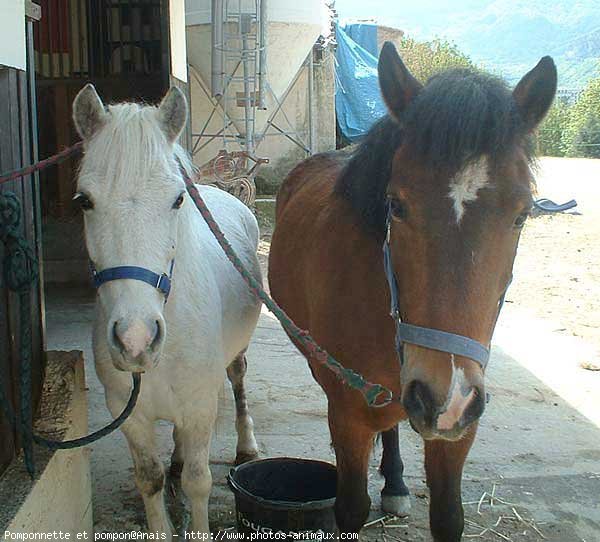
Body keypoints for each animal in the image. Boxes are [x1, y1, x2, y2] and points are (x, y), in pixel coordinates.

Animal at [71, 86, 262, 540]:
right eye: (84, 201)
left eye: (177, 199)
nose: (135, 339)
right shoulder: (127, 413)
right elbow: (149, 478)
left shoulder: (200, 407)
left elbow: (198, 482)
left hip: (236, 356)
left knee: (238, 380)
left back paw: (246, 446)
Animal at [268, 43, 556, 542]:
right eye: (397, 205)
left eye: (522, 215)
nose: (445, 396)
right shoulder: (350, 414)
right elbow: (350, 508)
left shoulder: (462, 425)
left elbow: (448, 518)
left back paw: (398, 482)